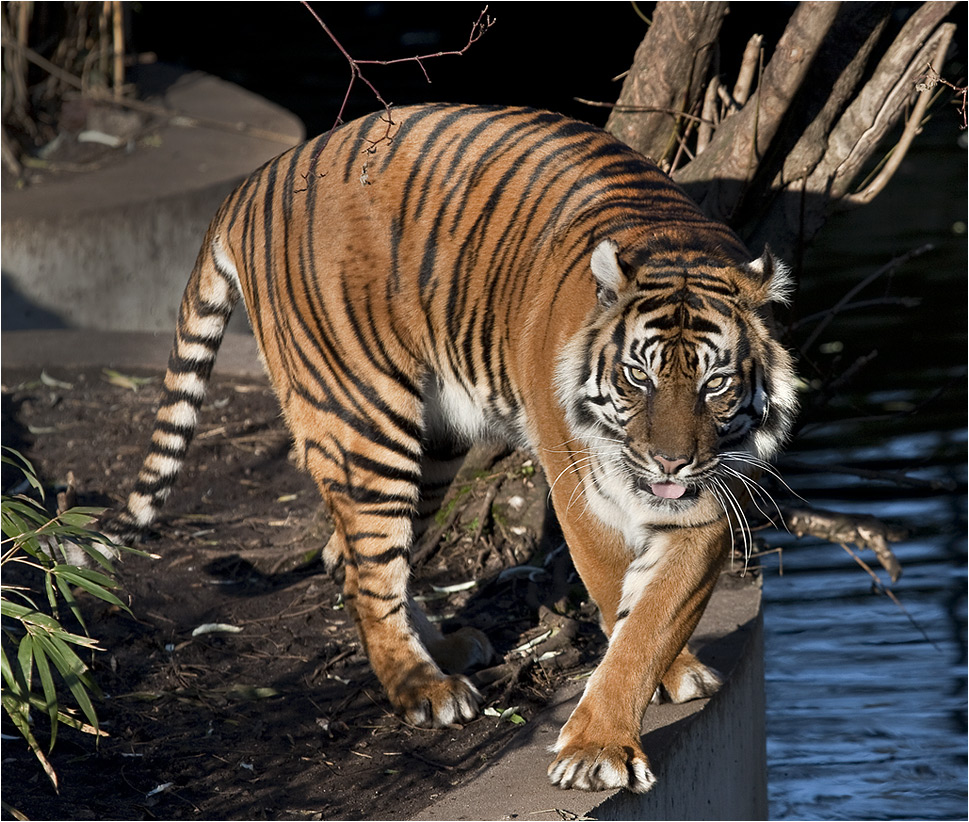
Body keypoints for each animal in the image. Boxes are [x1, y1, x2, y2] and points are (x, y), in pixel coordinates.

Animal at [109, 100, 796, 796]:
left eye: (715, 383)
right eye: (638, 377)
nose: (670, 462)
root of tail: (256, 181)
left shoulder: (708, 501)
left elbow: (653, 619)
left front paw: (653, 686)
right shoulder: (581, 488)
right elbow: (618, 600)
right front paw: (600, 748)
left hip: (432, 444)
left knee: (350, 557)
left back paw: (445, 651)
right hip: (364, 421)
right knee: (368, 568)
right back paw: (426, 689)